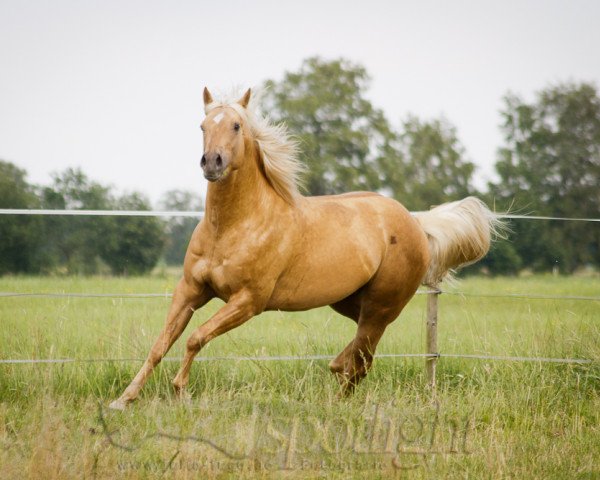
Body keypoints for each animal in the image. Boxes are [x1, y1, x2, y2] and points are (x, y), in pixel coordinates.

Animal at [109, 87, 502, 408]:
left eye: (236, 126)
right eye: (202, 126)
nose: (212, 162)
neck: (234, 226)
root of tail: (416, 223)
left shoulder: (247, 301)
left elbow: (194, 338)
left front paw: (180, 390)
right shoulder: (191, 290)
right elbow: (161, 344)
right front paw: (124, 399)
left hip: (382, 306)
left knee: (361, 360)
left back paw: (338, 399)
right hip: (350, 302)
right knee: (358, 356)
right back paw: (337, 379)